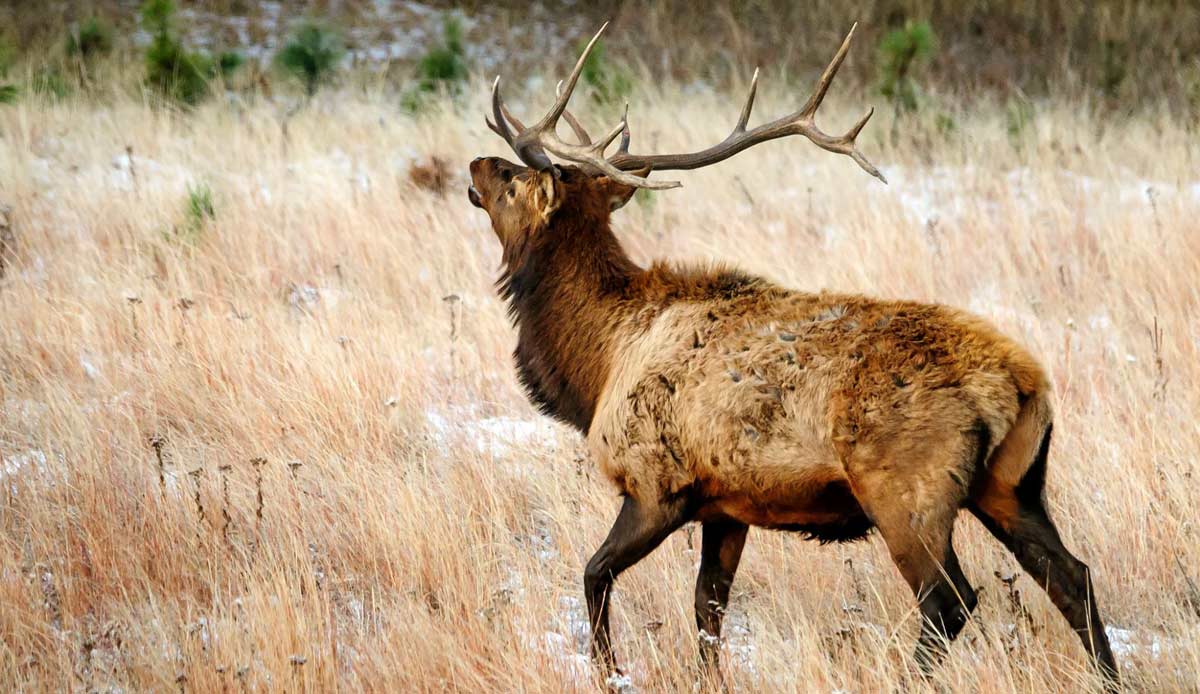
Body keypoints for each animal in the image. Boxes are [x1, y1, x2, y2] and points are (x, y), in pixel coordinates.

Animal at [466, 23, 1119, 689]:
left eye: (516, 180)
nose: (476, 162)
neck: (596, 364)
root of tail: (1023, 383)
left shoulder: (656, 483)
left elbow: (595, 574)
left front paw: (607, 670)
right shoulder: (726, 503)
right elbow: (708, 608)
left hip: (907, 489)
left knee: (949, 599)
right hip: (1013, 483)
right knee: (1073, 576)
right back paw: (1109, 675)